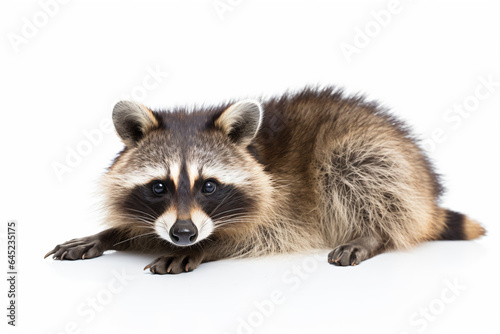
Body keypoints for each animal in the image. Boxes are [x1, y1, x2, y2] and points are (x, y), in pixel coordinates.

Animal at [46, 87, 484, 276]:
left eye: (208, 186)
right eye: (159, 186)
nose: (184, 234)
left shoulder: (284, 207)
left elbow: (251, 236)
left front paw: (205, 247)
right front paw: (108, 234)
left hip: (370, 152)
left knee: (368, 179)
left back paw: (372, 232)